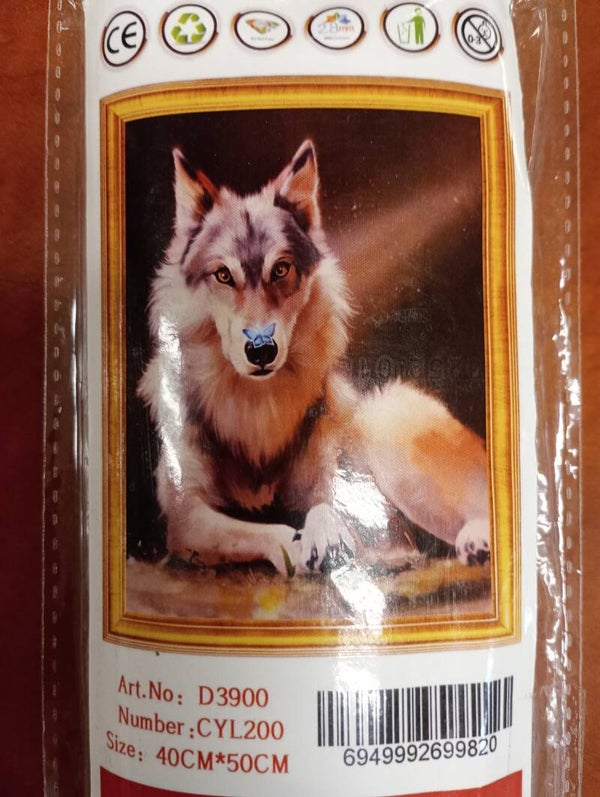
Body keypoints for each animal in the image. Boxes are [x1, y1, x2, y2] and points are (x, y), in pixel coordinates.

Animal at [138, 140, 490, 575]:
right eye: (223, 275)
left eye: (281, 269)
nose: (261, 349)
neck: (258, 413)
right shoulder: (185, 518)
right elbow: (260, 529)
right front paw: (299, 543)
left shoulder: (343, 487)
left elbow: (327, 507)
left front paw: (329, 538)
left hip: (386, 427)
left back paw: (476, 542)